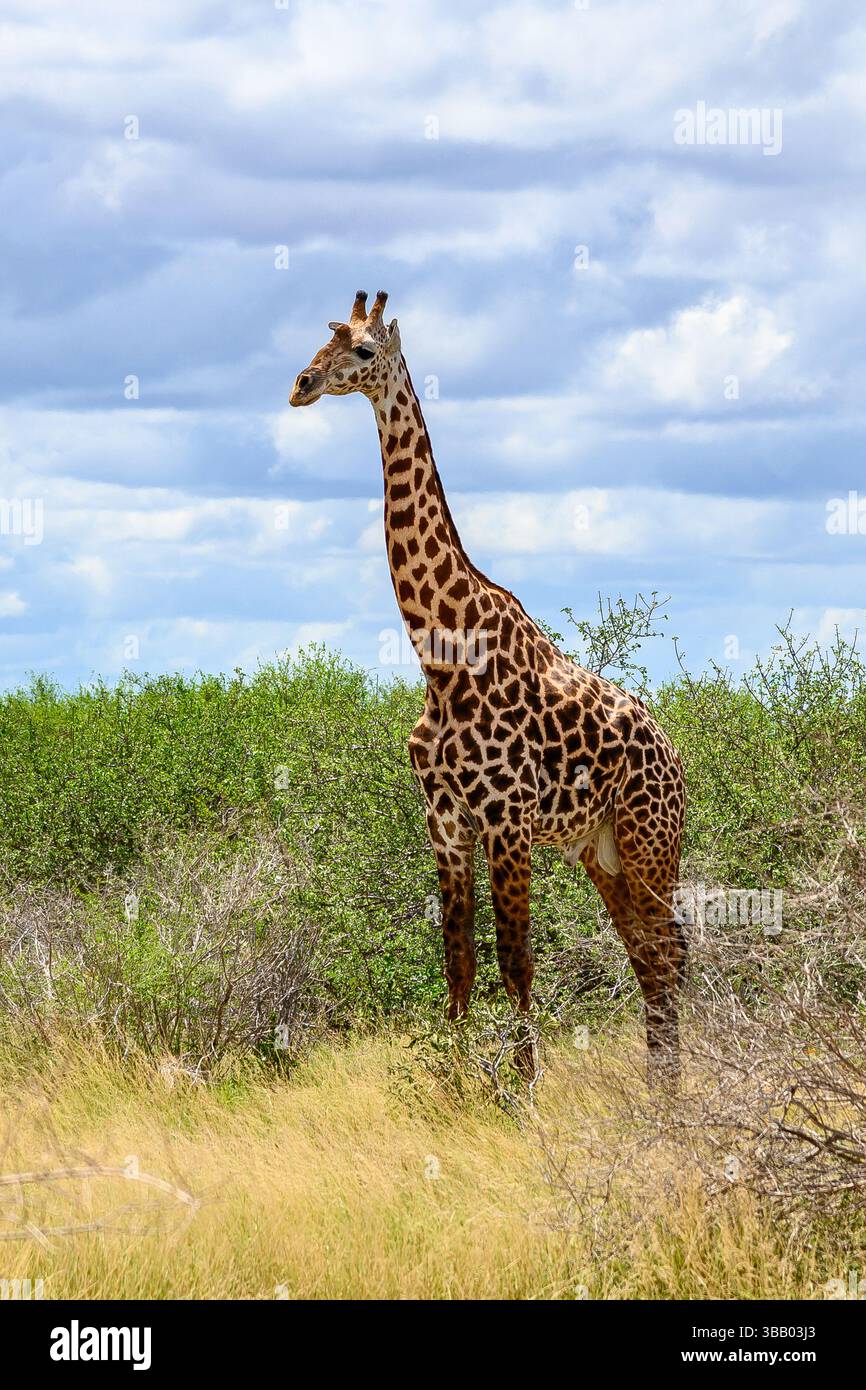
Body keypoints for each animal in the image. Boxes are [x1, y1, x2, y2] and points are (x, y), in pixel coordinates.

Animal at [290, 290, 687, 1084]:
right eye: (324, 340)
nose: (302, 384)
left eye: (364, 351)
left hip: (651, 842)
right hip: (603, 852)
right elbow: (460, 965)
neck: (440, 655)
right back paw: (661, 1085)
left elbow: (517, 963)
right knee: (649, 957)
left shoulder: (507, 819)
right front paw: (451, 1085)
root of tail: (678, 762)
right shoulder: (445, 821)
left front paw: (522, 1089)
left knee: (671, 951)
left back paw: (684, 1083)